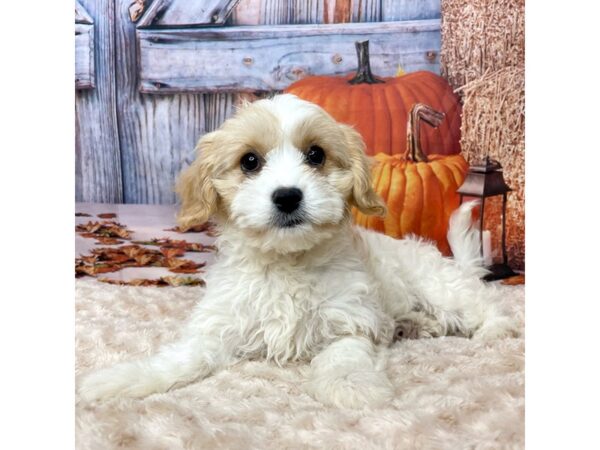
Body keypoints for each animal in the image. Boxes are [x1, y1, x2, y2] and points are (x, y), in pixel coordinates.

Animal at [79, 94, 516, 408]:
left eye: (316, 155)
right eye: (249, 161)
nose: (288, 196)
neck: (286, 262)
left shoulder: (351, 320)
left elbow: (342, 356)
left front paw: (353, 387)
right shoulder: (219, 325)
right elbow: (180, 359)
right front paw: (119, 380)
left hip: (439, 286)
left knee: (483, 304)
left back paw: (494, 330)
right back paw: (413, 325)